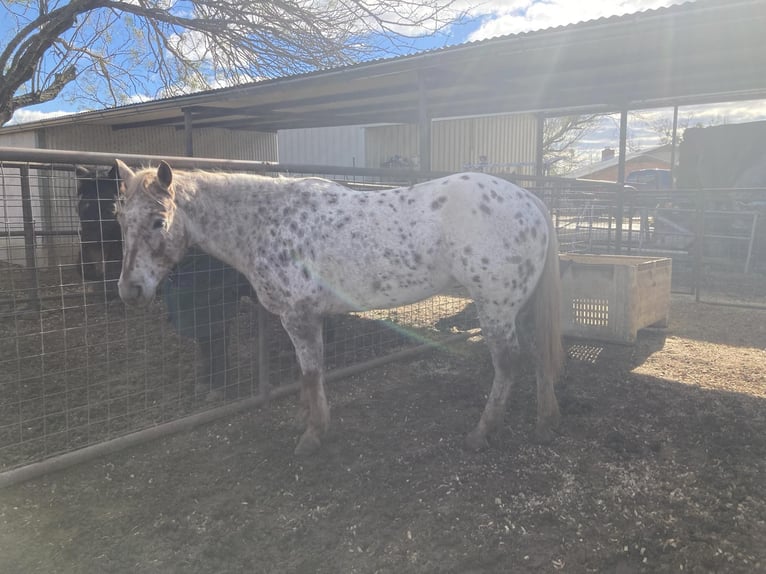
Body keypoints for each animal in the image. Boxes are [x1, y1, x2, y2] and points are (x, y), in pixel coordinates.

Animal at [74, 166, 250, 396]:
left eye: (111, 208)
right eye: (80, 207)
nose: (86, 269)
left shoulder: (216, 304)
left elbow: (215, 341)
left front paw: (219, 383)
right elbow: (206, 343)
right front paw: (207, 379)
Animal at [117, 160, 568, 456]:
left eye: (158, 220)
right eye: (120, 219)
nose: (129, 290)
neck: (268, 221)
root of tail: (530, 200)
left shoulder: (298, 318)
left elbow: (312, 372)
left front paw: (313, 434)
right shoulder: (308, 318)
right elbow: (307, 374)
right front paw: (307, 419)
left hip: (495, 308)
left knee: (508, 363)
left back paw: (481, 433)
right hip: (519, 308)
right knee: (539, 356)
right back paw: (546, 423)